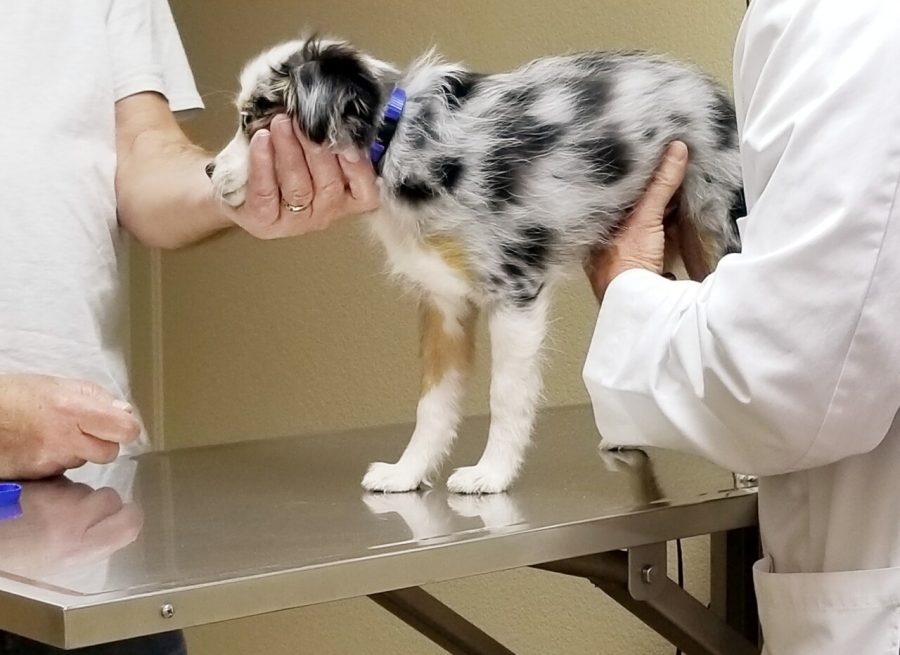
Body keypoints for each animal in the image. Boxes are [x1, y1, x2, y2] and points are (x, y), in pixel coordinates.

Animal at [207, 36, 740, 494]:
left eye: (251, 119)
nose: (208, 171)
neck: (395, 140)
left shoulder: (515, 291)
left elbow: (505, 394)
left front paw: (493, 475)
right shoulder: (443, 302)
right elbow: (433, 404)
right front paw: (406, 473)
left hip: (714, 229)